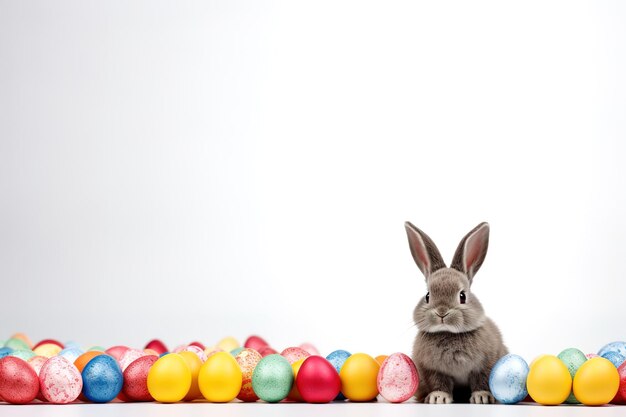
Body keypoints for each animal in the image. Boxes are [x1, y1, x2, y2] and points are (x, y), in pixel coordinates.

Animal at [404, 221, 508, 404]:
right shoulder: (433, 370)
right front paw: (438, 397)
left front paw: (482, 397)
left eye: (462, 296)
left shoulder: (485, 364)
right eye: (428, 296)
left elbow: (481, 380)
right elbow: (439, 382)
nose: (442, 312)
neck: (449, 333)